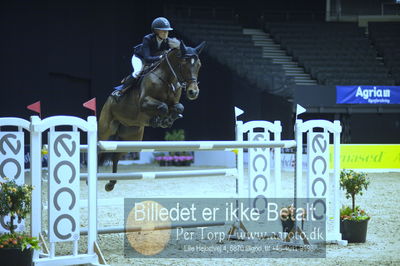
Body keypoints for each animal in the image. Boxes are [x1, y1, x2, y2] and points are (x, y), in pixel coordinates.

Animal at [98, 40, 205, 191]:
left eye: (199, 65)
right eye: (184, 63)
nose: (193, 92)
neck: (167, 79)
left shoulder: (174, 103)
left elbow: (178, 107)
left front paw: (167, 120)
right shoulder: (144, 102)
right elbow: (163, 106)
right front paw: (159, 120)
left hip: (131, 138)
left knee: (116, 156)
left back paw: (110, 183)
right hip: (105, 130)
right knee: (99, 150)